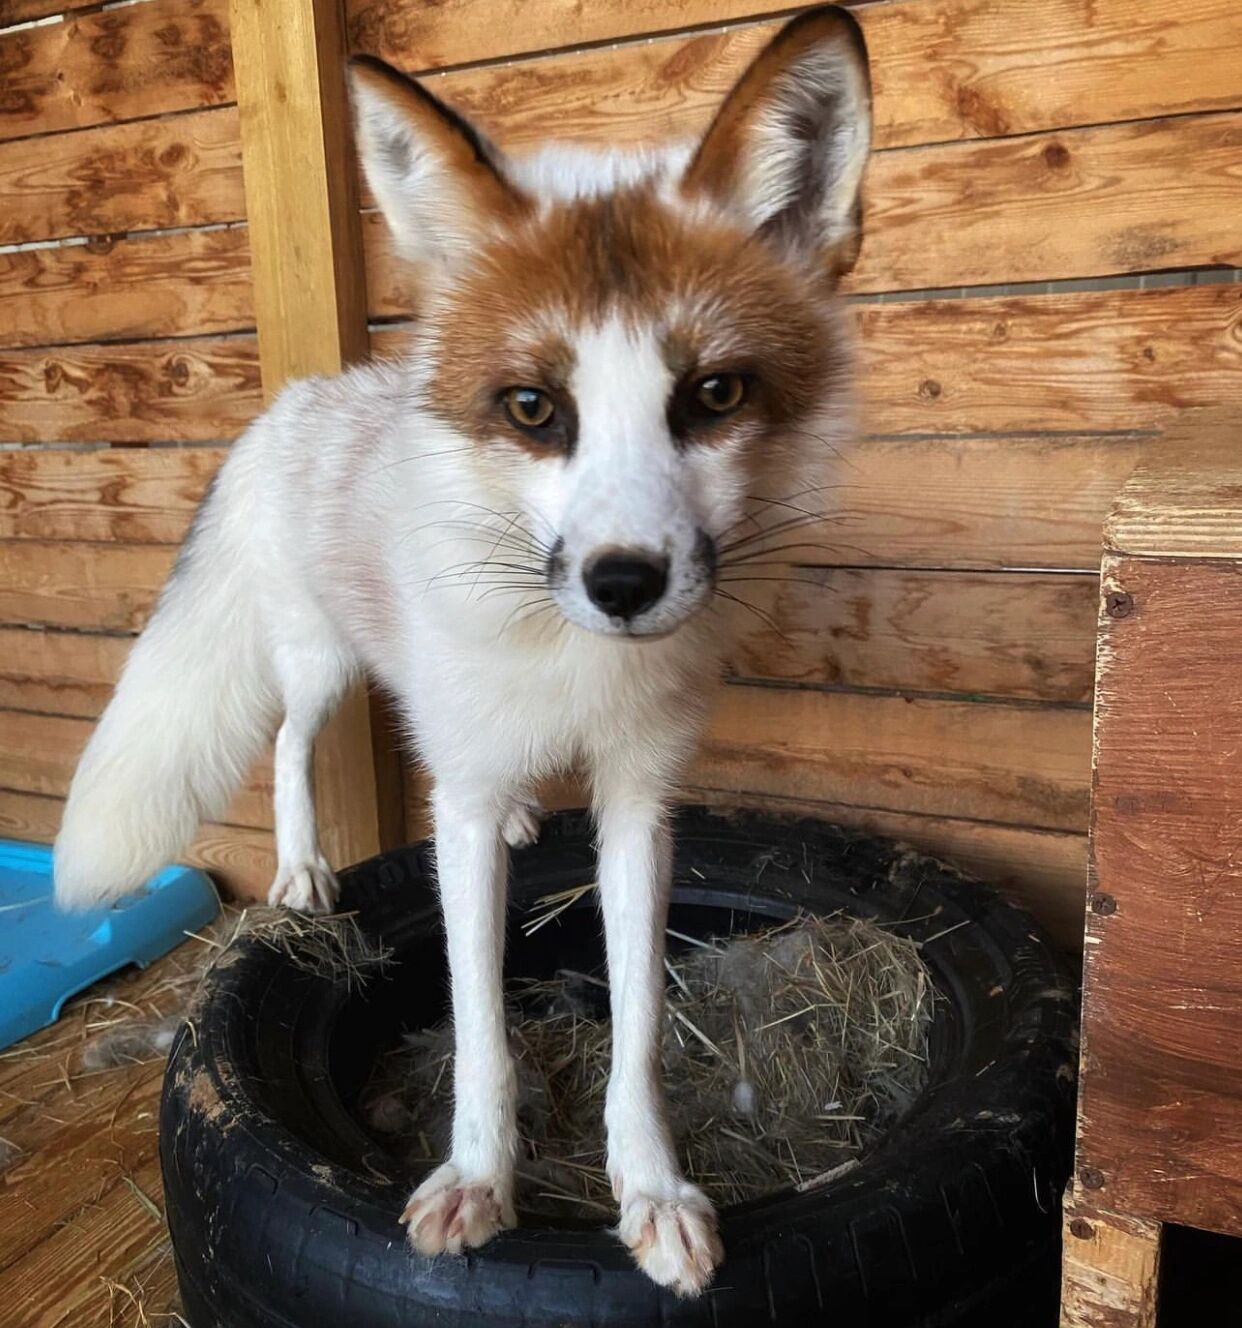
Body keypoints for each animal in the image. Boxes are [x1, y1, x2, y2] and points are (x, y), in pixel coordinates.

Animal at [53, 4, 871, 1297]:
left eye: (713, 394)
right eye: (534, 408)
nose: (624, 582)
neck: (576, 668)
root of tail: (304, 394)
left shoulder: (640, 803)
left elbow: (640, 1029)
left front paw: (651, 1190)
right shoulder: (469, 800)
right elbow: (480, 1019)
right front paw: (479, 1181)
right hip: (319, 662)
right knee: (291, 745)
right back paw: (301, 870)